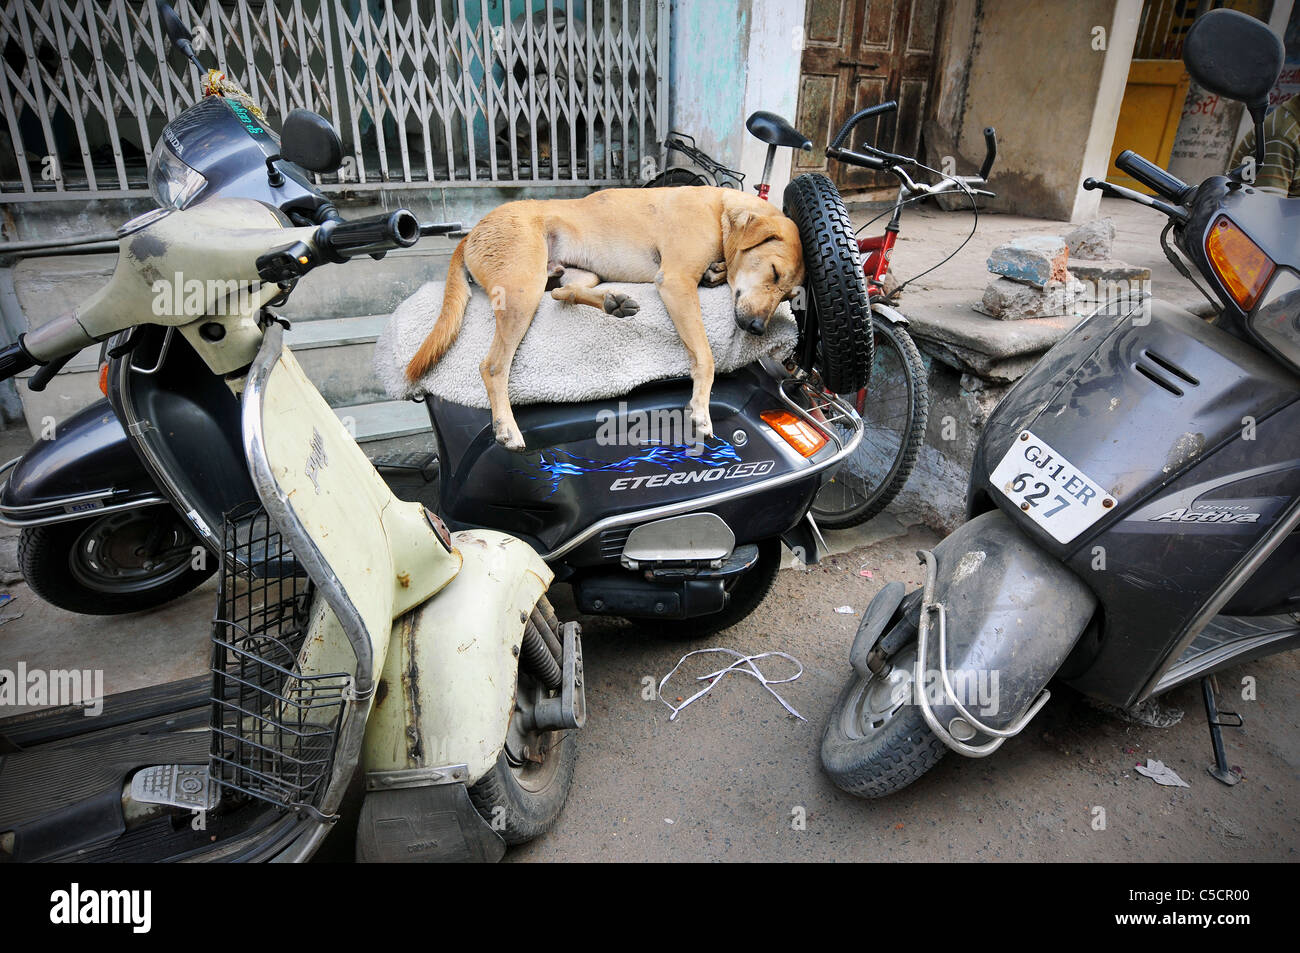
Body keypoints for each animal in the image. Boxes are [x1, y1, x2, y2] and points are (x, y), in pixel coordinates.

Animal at [403, 188, 800, 452]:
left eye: (789, 296)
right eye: (774, 272)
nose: (757, 328)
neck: (720, 210)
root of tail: (471, 232)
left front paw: (716, 272)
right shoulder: (675, 283)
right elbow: (705, 356)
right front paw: (701, 409)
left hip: (577, 274)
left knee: (563, 293)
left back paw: (614, 302)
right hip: (522, 290)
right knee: (493, 366)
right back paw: (506, 428)